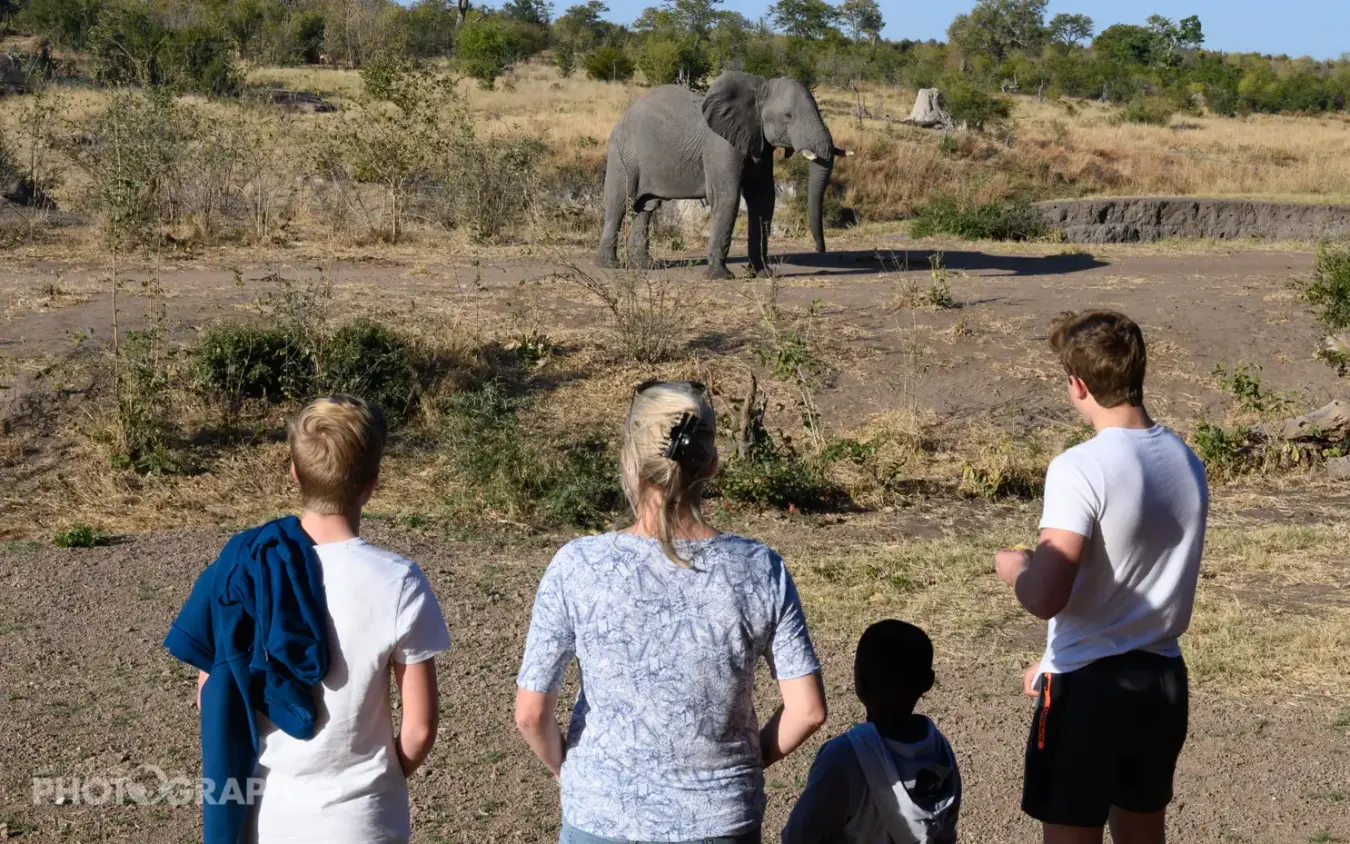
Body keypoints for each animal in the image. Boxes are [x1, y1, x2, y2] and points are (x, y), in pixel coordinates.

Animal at [596, 71, 850, 280]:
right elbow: (727, 196)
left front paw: (764, 274)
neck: (758, 91)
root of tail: (622, 116)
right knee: (619, 204)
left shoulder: (759, 141)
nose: (820, 249)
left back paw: (646, 266)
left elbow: (764, 198)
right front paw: (720, 277)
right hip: (622, 154)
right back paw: (609, 265)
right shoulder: (720, 145)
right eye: (788, 116)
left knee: (647, 207)